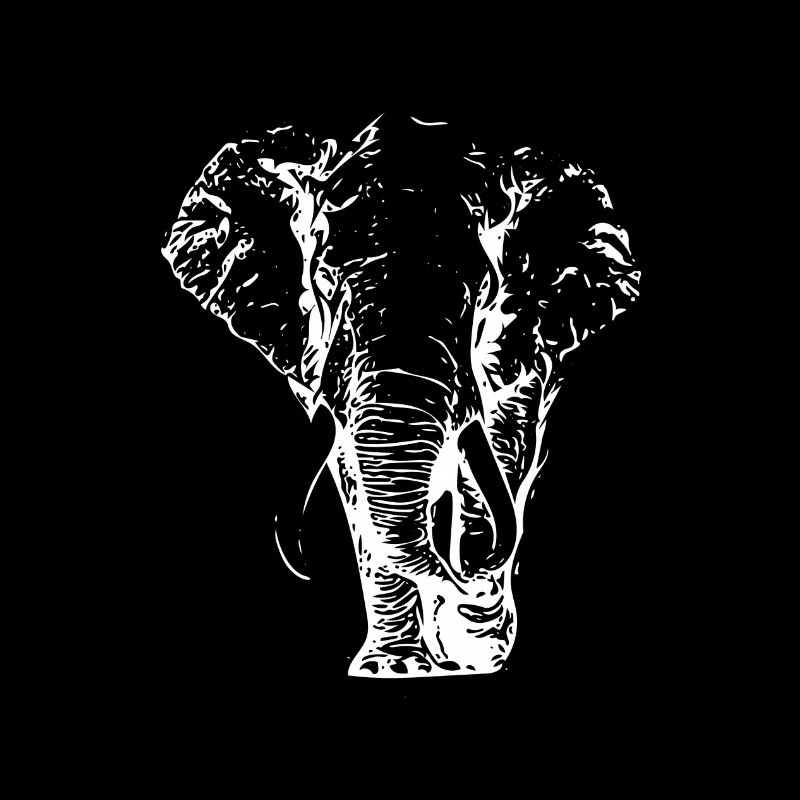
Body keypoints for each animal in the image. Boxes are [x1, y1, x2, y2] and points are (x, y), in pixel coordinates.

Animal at [161, 113, 641, 677]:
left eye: (484, 290)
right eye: (325, 283)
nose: (465, 583)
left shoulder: (525, 341)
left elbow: (499, 445)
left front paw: (473, 646)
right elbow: (352, 479)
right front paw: (395, 668)